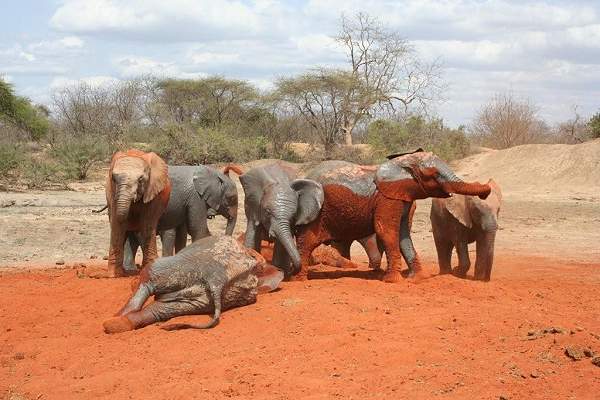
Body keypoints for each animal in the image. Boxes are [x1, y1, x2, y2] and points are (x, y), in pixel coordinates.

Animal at [102, 236, 284, 332]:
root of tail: (216, 278)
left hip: (175, 267)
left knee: (149, 277)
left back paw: (114, 319)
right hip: (204, 299)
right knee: (159, 310)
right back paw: (116, 324)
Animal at [105, 150, 171, 278]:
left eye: (141, 179)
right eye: (114, 178)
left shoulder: (153, 192)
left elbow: (147, 226)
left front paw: (148, 271)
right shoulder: (112, 193)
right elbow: (117, 226)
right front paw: (113, 276)